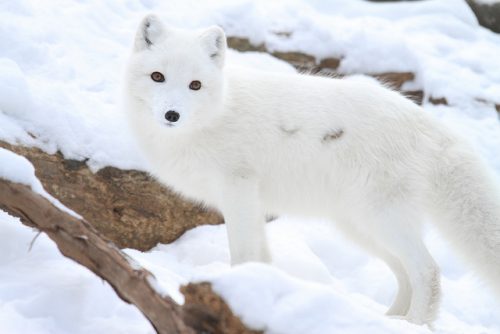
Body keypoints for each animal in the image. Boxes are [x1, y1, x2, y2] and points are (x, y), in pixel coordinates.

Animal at [124, 14, 500, 324]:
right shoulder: (253, 203)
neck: (213, 116)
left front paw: (234, 289)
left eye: (195, 85)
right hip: (360, 226)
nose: (172, 115)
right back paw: (390, 320)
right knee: (404, 273)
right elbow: (262, 256)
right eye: (157, 77)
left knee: (427, 271)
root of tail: (428, 124)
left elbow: (244, 253)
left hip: (381, 219)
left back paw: (415, 324)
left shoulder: (238, 192)